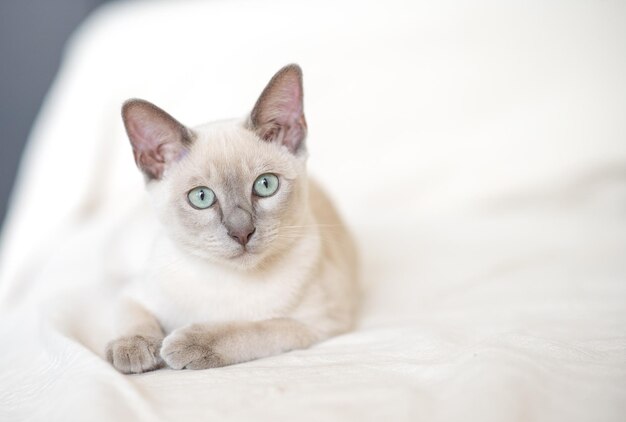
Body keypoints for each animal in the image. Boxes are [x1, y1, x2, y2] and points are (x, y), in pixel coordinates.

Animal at [102, 64, 356, 374]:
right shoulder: (135, 294)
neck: (229, 280)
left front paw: (190, 344)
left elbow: (253, 329)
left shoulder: (318, 322)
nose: (242, 232)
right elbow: (132, 316)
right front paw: (133, 349)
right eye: (201, 197)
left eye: (266, 185)